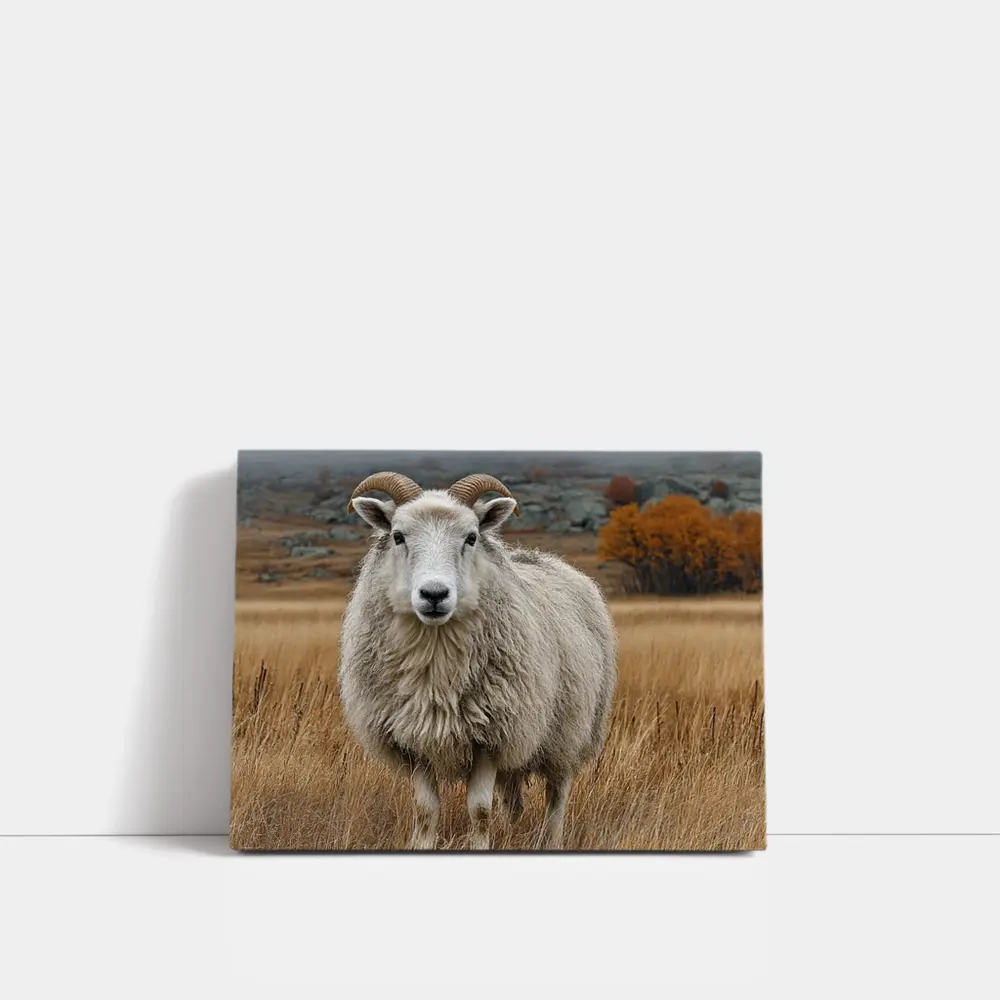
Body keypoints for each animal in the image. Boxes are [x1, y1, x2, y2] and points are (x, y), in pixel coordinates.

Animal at [338, 471, 618, 850]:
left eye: (471, 538)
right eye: (398, 536)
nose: (434, 594)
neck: (436, 659)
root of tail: (545, 558)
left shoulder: (491, 739)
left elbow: (480, 811)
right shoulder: (413, 740)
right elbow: (425, 810)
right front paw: (421, 846)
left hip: (567, 732)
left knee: (557, 796)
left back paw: (551, 841)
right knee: (513, 800)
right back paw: (512, 830)